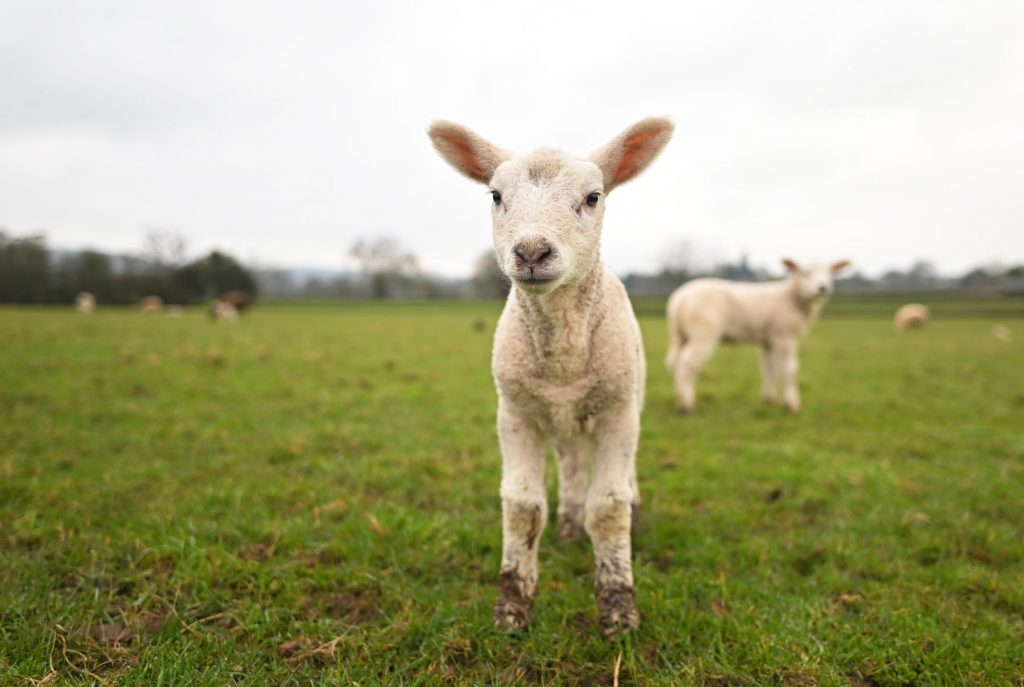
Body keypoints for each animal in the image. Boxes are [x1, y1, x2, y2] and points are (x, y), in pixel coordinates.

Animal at [428, 117, 674, 636]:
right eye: (496, 195)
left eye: (594, 197)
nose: (532, 251)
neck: (563, 360)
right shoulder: (516, 412)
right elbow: (523, 507)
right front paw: (512, 604)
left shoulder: (616, 413)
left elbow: (609, 506)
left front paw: (618, 606)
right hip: (564, 420)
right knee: (573, 465)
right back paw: (568, 523)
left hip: (627, 401)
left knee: (622, 478)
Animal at [666, 259, 849, 413]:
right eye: (805, 273)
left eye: (830, 274)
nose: (822, 288)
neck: (791, 296)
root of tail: (679, 299)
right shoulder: (784, 336)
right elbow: (789, 369)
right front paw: (792, 405)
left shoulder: (767, 340)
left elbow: (769, 369)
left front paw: (769, 400)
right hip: (703, 334)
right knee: (688, 364)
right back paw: (686, 405)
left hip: (680, 336)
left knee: (675, 362)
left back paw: (679, 398)